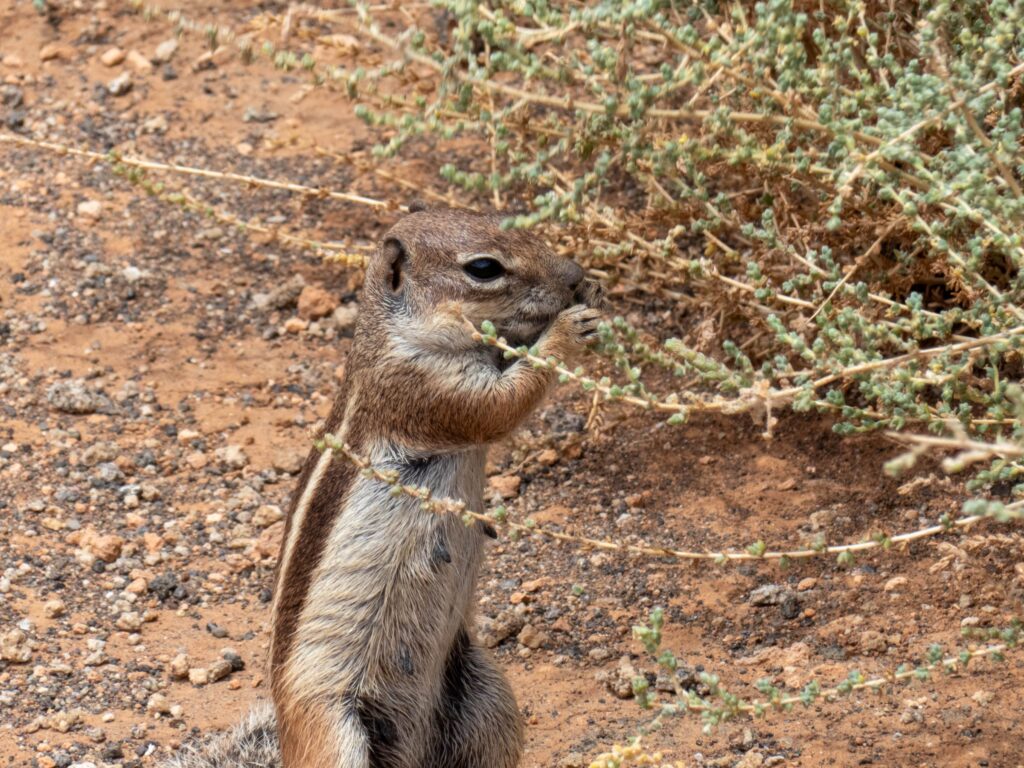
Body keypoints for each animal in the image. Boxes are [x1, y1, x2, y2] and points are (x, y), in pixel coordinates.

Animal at [165, 205, 605, 768]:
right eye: (484, 268)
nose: (574, 274)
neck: (393, 334)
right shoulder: (423, 389)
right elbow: (501, 404)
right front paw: (570, 329)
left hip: (487, 697)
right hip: (334, 732)